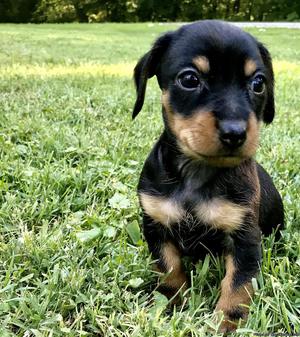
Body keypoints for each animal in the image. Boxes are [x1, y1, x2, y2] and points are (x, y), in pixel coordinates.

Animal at [131, 20, 284, 330]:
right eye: (190, 79)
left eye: (258, 83)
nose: (235, 133)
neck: (197, 173)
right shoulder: (156, 226)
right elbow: (168, 268)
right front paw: (171, 303)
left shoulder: (245, 238)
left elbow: (238, 284)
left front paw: (227, 321)